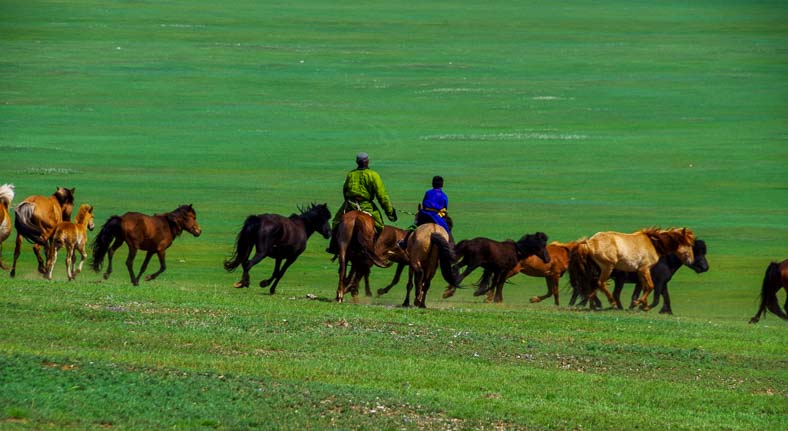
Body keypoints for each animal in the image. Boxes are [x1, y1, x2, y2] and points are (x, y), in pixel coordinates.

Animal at [568, 230, 696, 310]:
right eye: (689, 245)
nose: (691, 260)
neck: (653, 244)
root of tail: (589, 242)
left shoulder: (640, 272)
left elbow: (645, 287)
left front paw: (643, 305)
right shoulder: (645, 269)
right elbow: (650, 286)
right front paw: (639, 303)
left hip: (596, 269)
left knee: (592, 284)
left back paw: (593, 305)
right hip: (607, 267)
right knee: (600, 283)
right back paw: (612, 303)